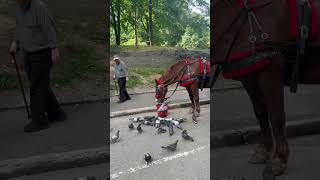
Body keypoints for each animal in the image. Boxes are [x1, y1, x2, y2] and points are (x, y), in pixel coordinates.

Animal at [212, 0, 320, 176]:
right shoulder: (249, 78)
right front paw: (263, 151)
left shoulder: (270, 73)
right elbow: (261, 114)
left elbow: (276, 117)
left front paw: (280, 159)